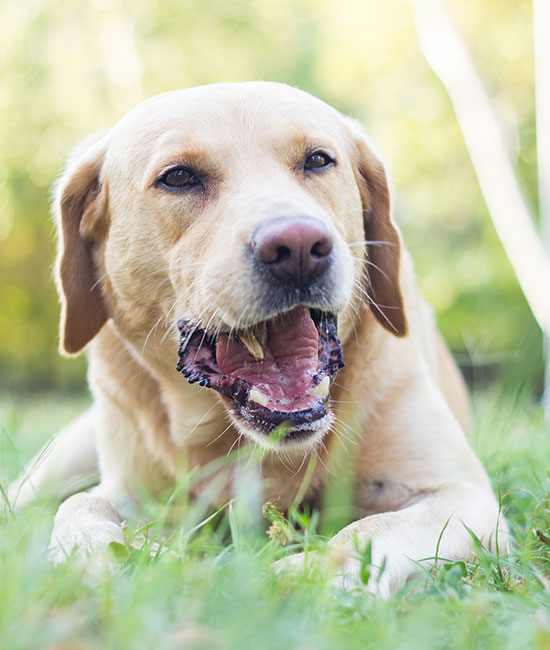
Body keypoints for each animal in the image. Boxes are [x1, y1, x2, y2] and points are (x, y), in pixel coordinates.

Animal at [8, 83, 508, 596]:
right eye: (179, 177)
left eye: (318, 160)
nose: (299, 246)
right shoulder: (128, 491)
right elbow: (80, 507)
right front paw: (103, 554)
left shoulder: (462, 497)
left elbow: (366, 530)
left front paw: (304, 577)